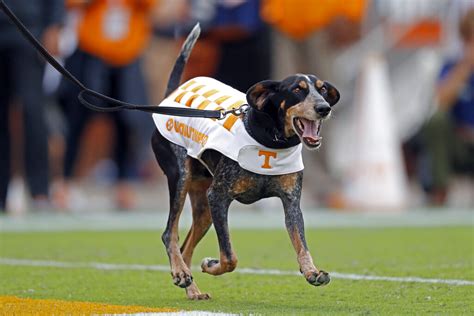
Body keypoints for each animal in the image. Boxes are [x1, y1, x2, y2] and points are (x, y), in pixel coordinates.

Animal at [152, 26, 340, 298]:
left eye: (322, 89)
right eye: (297, 89)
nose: (324, 107)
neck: (270, 137)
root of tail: (171, 95)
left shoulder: (291, 202)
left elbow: (301, 243)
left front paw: (311, 271)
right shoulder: (218, 197)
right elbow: (229, 257)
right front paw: (211, 265)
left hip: (204, 207)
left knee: (186, 245)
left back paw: (191, 287)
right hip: (181, 179)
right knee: (170, 234)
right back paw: (180, 273)